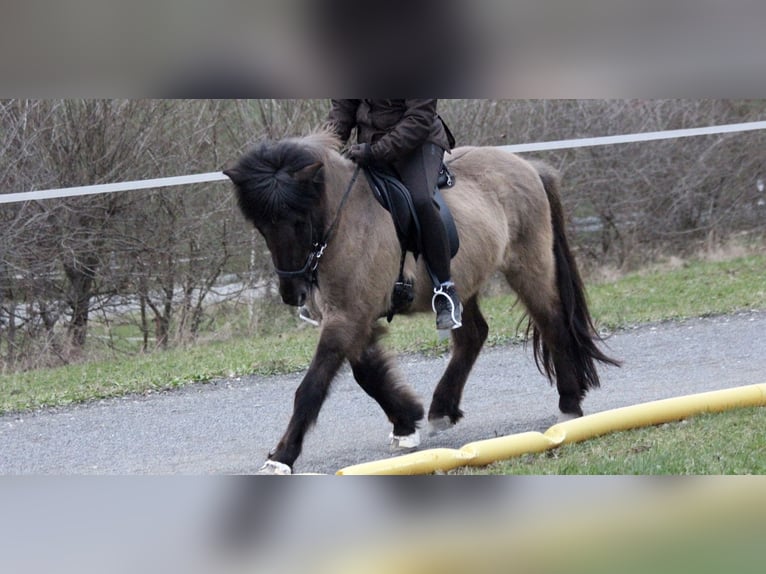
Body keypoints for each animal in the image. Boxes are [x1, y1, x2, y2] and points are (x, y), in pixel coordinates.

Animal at [225, 132, 620, 476]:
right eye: (261, 227)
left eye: (298, 219)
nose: (293, 294)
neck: (345, 222)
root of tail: (528, 167)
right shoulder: (352, 315)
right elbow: (366, 372)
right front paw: (406, 420)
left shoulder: (349, 316)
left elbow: (313, 386)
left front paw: (282, 456)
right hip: (462, 284)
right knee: (473, 335)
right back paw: (442, 409)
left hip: (528, 266)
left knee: (552, 323)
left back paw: (569, 404)